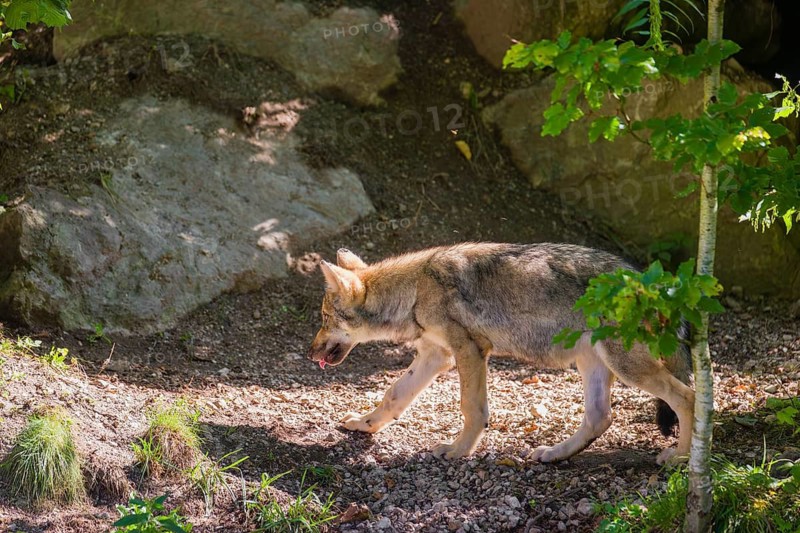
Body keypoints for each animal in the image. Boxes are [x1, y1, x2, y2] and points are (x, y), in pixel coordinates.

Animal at [306, 243, 694, 464]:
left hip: (627, 367)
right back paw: (553, 454)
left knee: (687, 398)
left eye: (324, 319)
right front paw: (364, 424)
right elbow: (393, 394)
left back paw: (681, 458)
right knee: (600, 417)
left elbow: (471, 409)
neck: (416, 289)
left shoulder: (469, 350)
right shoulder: (437, 355)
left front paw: (458, 451)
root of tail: (659, 286)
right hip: (591, 362)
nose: (310, 354)